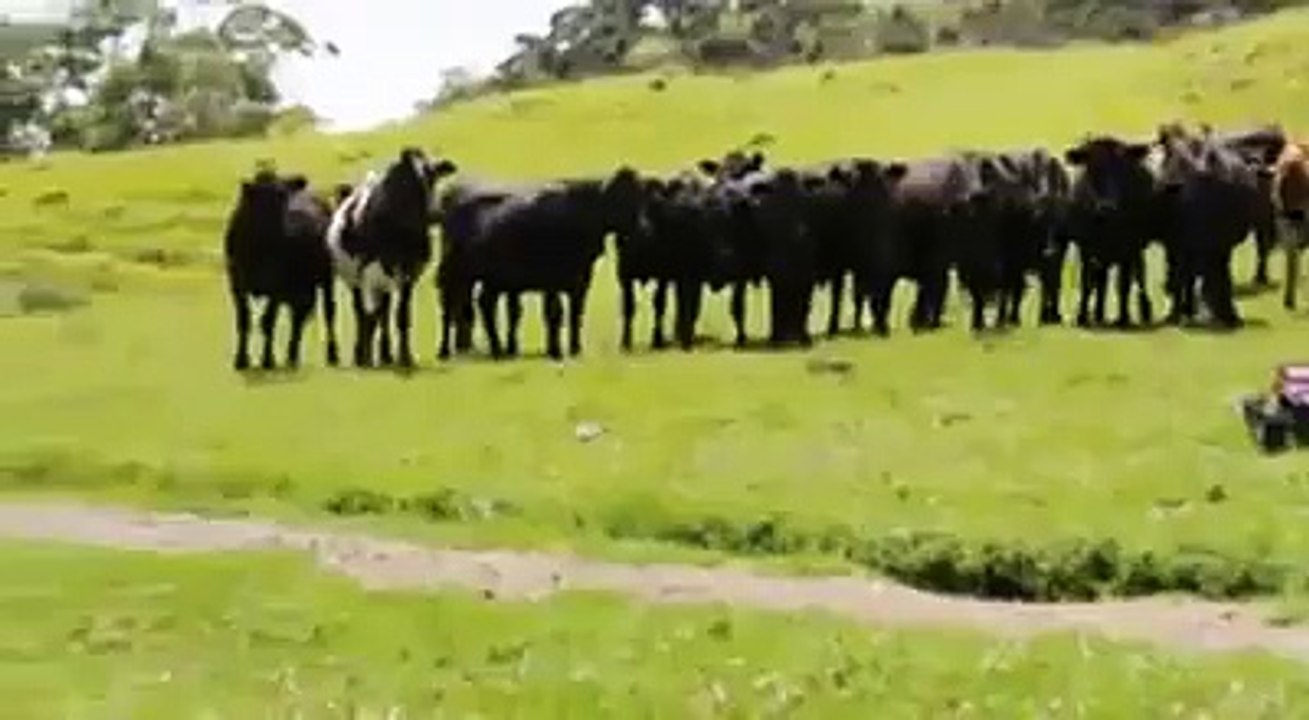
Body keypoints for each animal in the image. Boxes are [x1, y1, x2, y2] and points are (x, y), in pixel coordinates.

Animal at [223, 168, 337, 372]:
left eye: (283, 196)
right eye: (260, 202)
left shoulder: (276, 287)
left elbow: (268, 321)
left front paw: (268, 359)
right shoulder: (236, 284)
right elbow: (244, 320)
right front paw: (241, 359)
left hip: (326, 278)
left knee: (328, 312)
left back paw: (331, 354)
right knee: (298, 317)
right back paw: (292, 356)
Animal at [327, 147, 458, 369]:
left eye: (433, 178)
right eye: (408, 183)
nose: (435, 214)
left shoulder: (410, 274)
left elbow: (401, 315)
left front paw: (405, 357)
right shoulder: (371, 274)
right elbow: (370, 314)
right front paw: (366, 356)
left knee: (384, 311)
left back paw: (386, 354)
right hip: (354, 280)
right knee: (361, 311)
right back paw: (362, 354)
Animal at [436, 167, 646, 361]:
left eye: (640, 199)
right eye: (622, 199)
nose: (642, 229)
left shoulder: (580, 280)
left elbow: (575, 314)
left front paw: (574, 349)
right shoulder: (551, 280)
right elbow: (555, 313)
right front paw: (555, 351)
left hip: (488, 280)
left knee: (483, 305)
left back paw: (497, 349)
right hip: (455, 275)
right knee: (449, 308)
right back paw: (445, 351)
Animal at [1062, 135, 1157, 328]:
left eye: (1124, 170)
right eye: (1092, 168)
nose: (1107, 206)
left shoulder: (1130, 247)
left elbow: (1124, 284)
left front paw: (1124, 318)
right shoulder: (1086, 248)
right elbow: (1086, 282)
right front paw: (1082, 316)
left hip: (1136, 251)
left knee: (1139, 274)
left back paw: (1144, 310)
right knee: (1101, 279)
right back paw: (1098, 314)